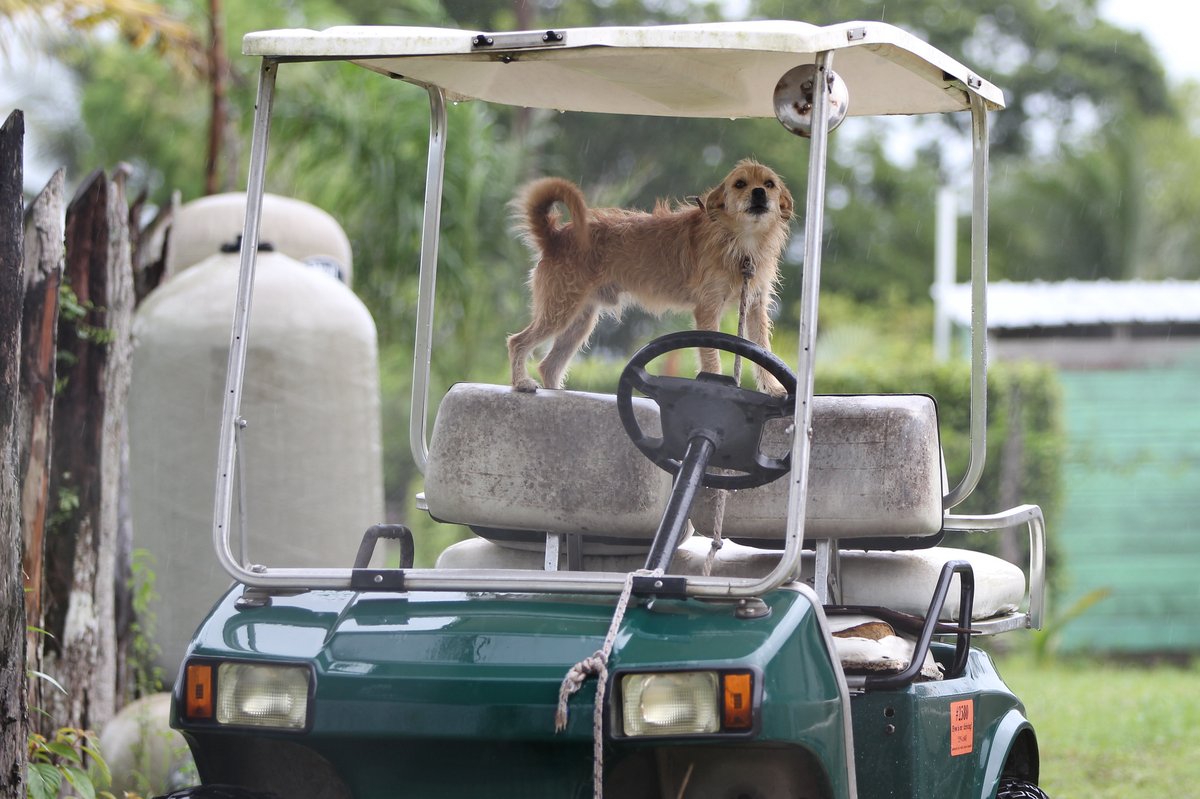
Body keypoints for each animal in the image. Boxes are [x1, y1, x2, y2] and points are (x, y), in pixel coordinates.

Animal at [508, 157, 796, 393]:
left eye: (769, 184)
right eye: (740, 184)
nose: (759, 192)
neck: (742, 243)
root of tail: (555, 237)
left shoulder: (755, 306)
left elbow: (762, 347)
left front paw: (773, 389)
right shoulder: (708, 308)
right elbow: (711, 356)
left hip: (579, 320)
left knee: (549, 364)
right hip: (560, 310)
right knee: (518, 342)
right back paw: (521, 383)